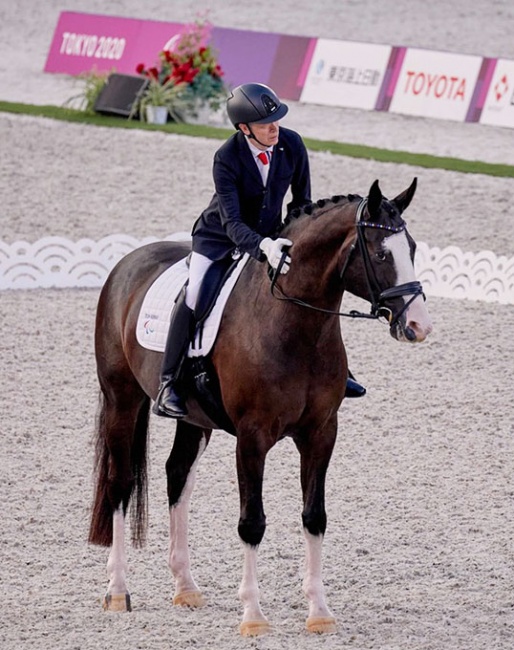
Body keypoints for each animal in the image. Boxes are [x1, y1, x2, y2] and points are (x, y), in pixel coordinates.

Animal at [89, 177, 432, 632]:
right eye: (380, 253)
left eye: (411, 248)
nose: (418, 326)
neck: (296, 328)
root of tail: (128, 261)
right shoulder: (252, 438)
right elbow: (252, 522)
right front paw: (253, 616)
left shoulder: (321, 433)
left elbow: (314, 516)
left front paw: (319, 613)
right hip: (121, 399)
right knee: (121, 483)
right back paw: (117, 590)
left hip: (194, 419)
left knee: (177, 475)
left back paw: (186, 587)